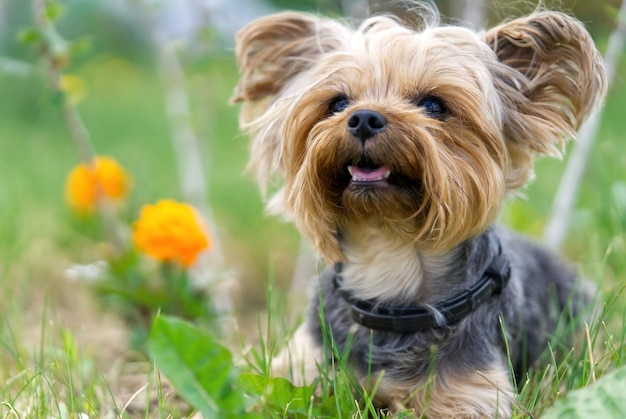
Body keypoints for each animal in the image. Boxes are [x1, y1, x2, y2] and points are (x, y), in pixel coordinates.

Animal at [232, 4, 604, 419]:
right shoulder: (298, 369)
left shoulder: (470, 394)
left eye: (433, 105)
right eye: (338, 103)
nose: (364, 118)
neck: (389, 256)